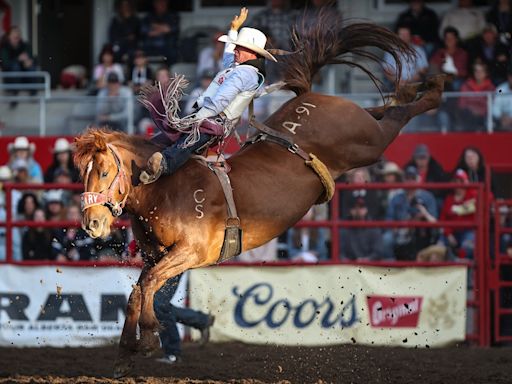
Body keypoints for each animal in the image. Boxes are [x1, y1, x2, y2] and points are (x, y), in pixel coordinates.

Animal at [74, 15, 446, 378]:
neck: (165, 188)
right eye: (82, 173)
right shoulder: (156, 256)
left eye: (104, 172)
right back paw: (410, 89)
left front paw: (149, 337)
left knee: (396, 117)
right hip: (366, 130)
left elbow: (148, 285)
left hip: (368, 142)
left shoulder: (190, 251)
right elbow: (139, 291)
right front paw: (126, 353)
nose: (91, 223)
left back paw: (435, 88)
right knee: (386, 109)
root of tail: (311, 95)